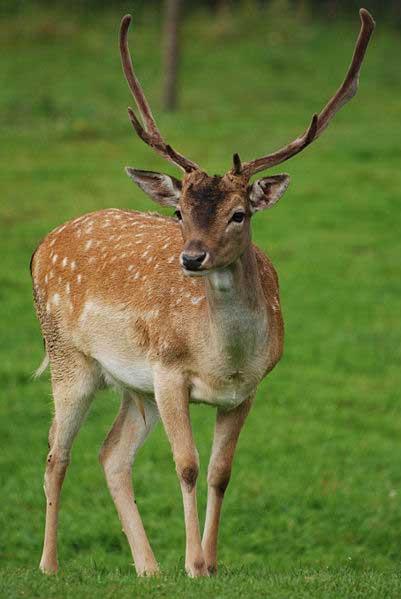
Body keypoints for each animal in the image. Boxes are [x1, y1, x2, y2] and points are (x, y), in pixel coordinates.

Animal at [32, 9, 376, 580]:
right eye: (179, 211)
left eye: (239, 213)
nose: (191, 258)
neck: (224, 360)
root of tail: (40, 245)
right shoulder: (169, 372)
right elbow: (188, 466)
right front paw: (193, 563)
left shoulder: (248, 388)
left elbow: (220, 472)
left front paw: (211, 563)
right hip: (69, 356)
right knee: (57, 455)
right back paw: (49, 565)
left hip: (134, 386)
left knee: (111, 455)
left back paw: (148, 568)